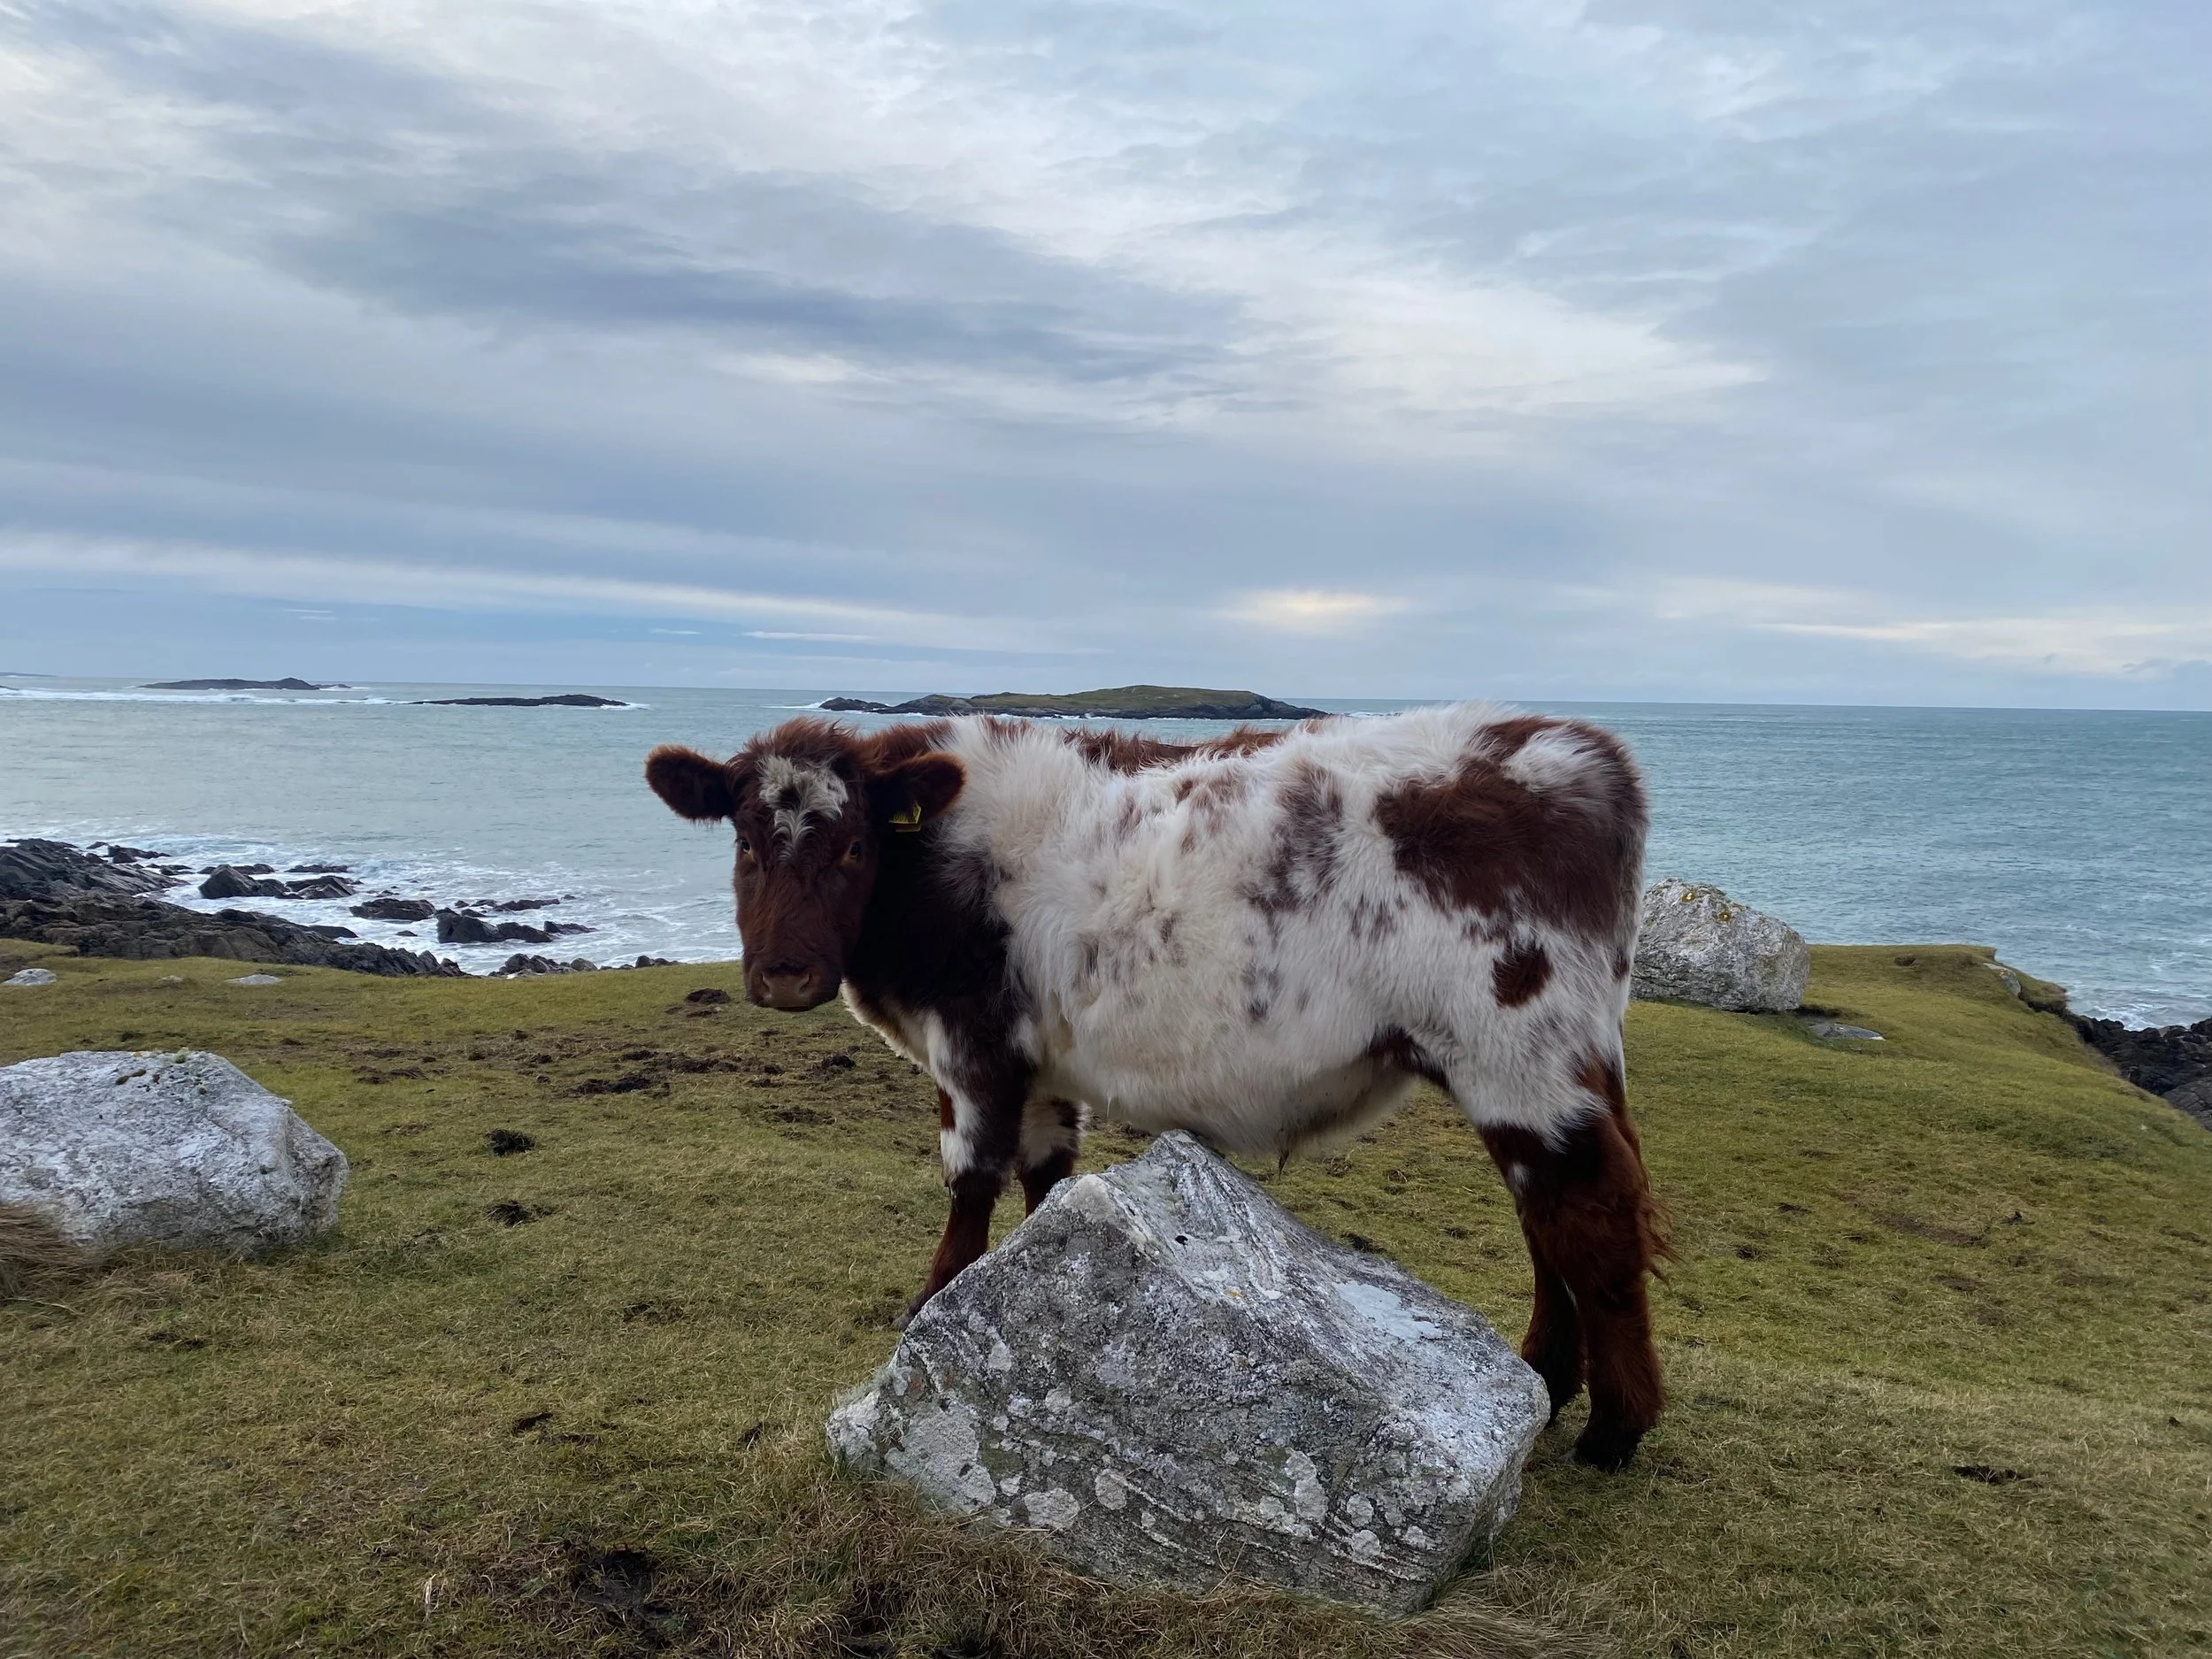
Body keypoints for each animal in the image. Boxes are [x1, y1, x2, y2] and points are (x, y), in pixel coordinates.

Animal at [644, 702, 1666, 1468]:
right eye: (745, 843)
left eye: (854, 846)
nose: (785, 977)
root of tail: (1577, 747)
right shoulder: (1040, 1066)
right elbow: (1044, 1178)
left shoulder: (973, 1043)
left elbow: (969, 1179)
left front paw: (930, 1304)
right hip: (1546, 1064)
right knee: (1547, 1219)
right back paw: (1547, 1379)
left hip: (1518, 1053)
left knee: (1589, 1210)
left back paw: (1616, 1428)